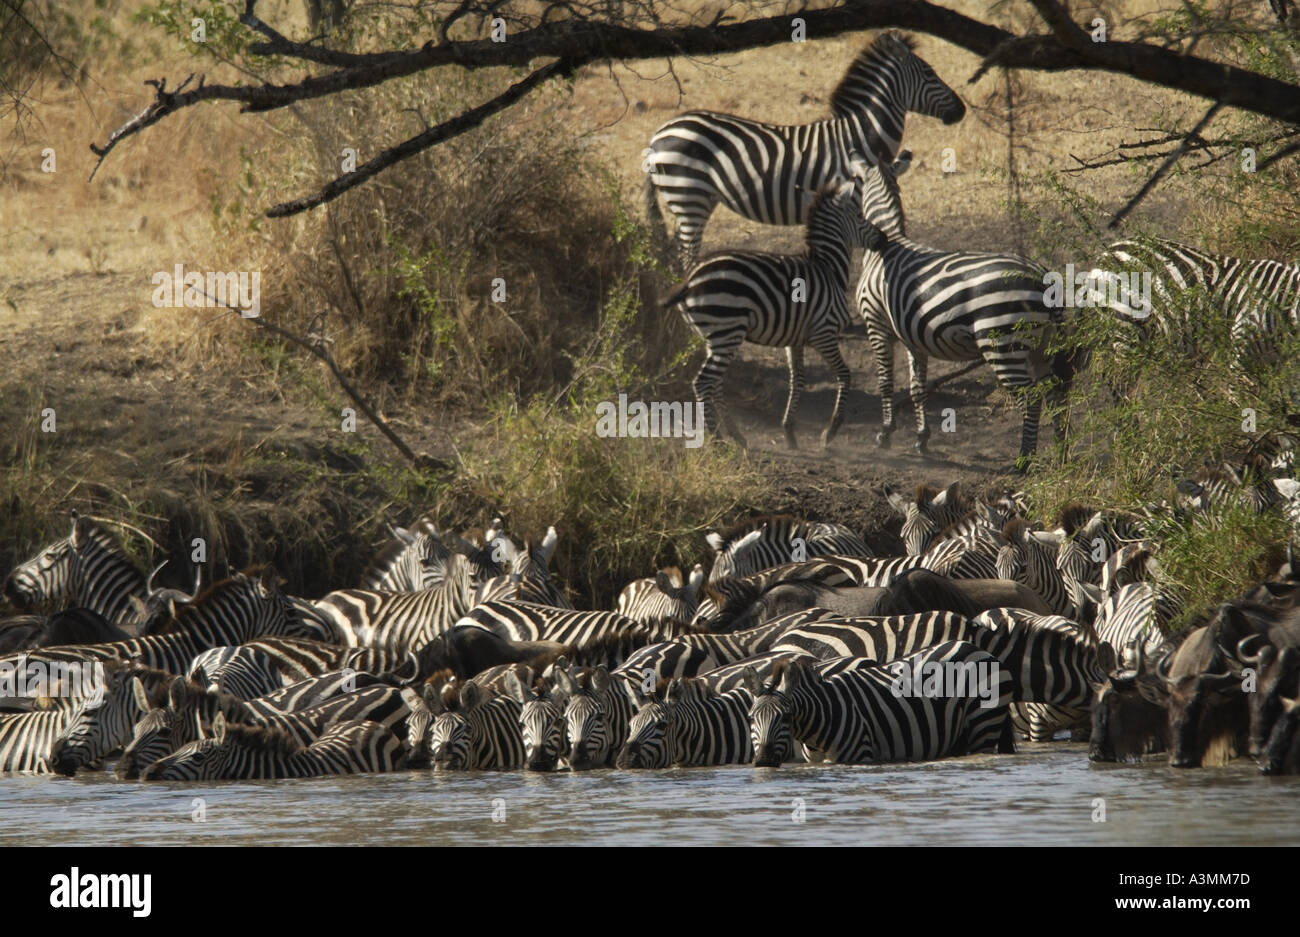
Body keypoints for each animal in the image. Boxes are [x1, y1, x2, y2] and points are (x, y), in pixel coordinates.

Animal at [644, 31, 965, 270]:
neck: (859, 134)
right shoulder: (850, 199)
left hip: (695, 200)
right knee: (685, 255)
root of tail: (657, 135)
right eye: (929, 73)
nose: (961, 110)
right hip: (689, 196)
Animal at [665, 177, 887, 449]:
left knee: (715, 384)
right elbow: (844, 374)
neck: (828, 268)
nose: (884, 239)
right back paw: (717, 439)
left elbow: (798, 380)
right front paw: (830, 431)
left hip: (715, 337)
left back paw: (736, 436)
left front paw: (789, 432)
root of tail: (689, 279)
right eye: (859, 215)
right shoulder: (823, 333)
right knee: (704, 382)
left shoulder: (795, 339)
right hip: (727, 332)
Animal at [745, 642, 1013, 766]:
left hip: (983, 724)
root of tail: (976, 647)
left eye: (786, 717)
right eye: (750, 718)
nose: (763, 761)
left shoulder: (860, 755)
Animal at [852, 158, 1077, 466]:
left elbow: (885, 382)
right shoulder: (912, 335)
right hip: (1044, 346)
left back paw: (1024, 460)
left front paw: (885, 434)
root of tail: (1040, 277)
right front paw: (921, 439)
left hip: (1002, 344)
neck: (886, 246)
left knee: (1031, 398)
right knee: (1056, 394)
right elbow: (917, 388)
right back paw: (1060, 454)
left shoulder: (875, 322)